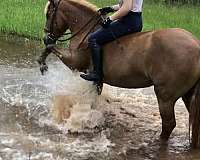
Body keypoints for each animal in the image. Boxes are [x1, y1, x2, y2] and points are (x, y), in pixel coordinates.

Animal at [37, 0, 200, 148]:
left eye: (49, 14)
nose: (46, 35)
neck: (86, 30)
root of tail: (196, 46)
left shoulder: (75, 62)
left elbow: (51, 46)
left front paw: (42, 62)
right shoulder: (96, 79)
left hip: (165, 96)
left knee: (168, 124)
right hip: (187, 95)